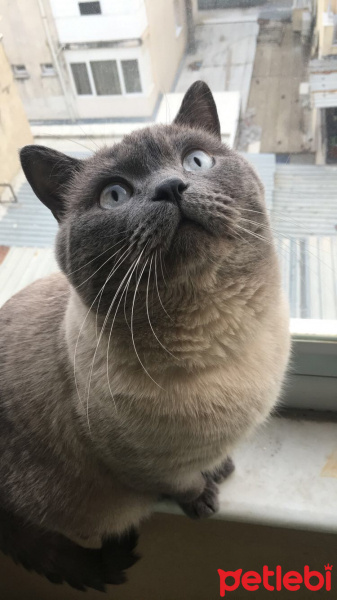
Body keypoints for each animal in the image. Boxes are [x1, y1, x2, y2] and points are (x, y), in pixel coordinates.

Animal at [0, 81, 288, 592]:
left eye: (196, 161)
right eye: (114, 195)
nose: (170, 187)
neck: (221, 338)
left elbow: (212, 459)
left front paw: (222, 469)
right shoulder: (146, 466)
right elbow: (182, 483)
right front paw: (204, 499)